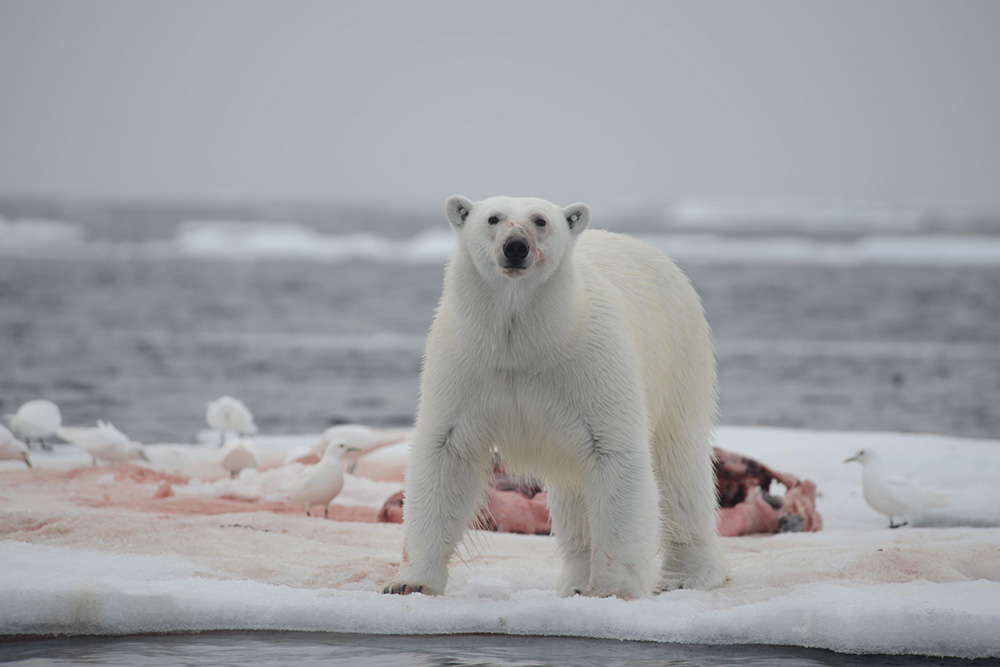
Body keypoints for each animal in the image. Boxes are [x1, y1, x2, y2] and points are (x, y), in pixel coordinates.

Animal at [382, 196, 728, 596]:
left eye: (540, 220)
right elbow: (445, 453)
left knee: (680, 467)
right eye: (493, 218)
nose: (516, 247)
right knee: (573, 489)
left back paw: (689, 574)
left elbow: (616, 455)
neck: (524, 345)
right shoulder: (464, 363)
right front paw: (410, 583)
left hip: (680, 357)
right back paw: (574, 580)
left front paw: (614, 588)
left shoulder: (593, 363)